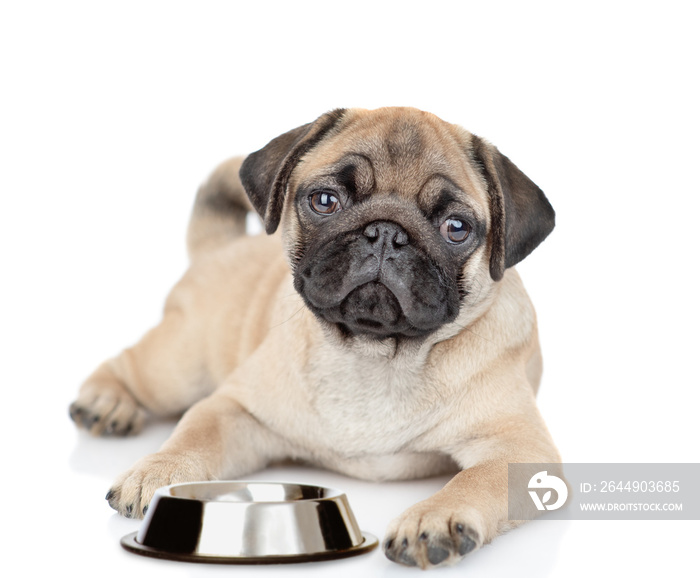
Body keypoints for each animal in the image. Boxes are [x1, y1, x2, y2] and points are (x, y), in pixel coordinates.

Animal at [68, 107, 560, 568]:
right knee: (128, 366)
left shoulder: (519, 449)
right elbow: (195, 433)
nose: (387, 232)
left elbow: (475, 479)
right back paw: (106, 402)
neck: (374, 356)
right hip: (180, 366)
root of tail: (222, 246)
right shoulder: (238, 411)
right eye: (325, 200)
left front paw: (434, 518)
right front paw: (160, 472)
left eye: (456, 228)